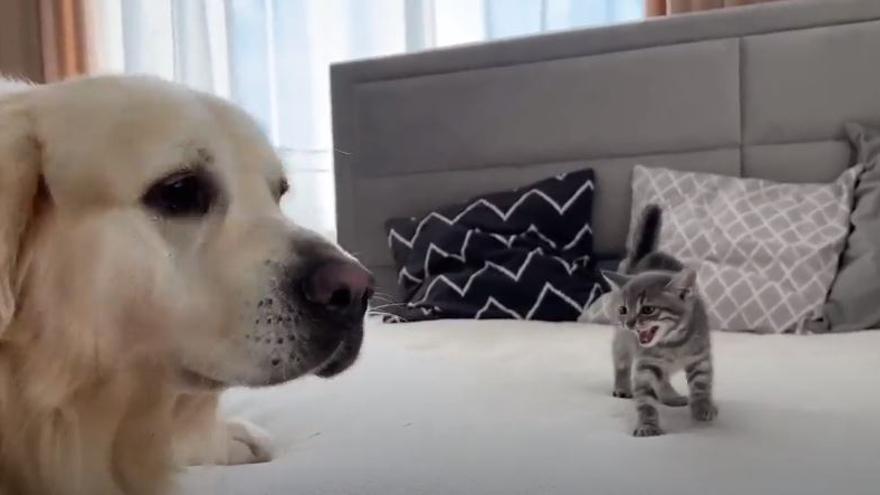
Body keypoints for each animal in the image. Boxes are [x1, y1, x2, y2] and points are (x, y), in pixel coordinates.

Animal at [600, 205, 720, 438]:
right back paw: (622, 386)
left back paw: (671, 396)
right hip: (622, 340)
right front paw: (648, 425)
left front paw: (703, 407)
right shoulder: (645, 364)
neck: (673, 345)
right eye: (623, 309)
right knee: (622, 362)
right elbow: (645, 399)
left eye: (648, 310)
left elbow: (701, 385)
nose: (629, 323)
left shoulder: (700, 357)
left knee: (663, 378)